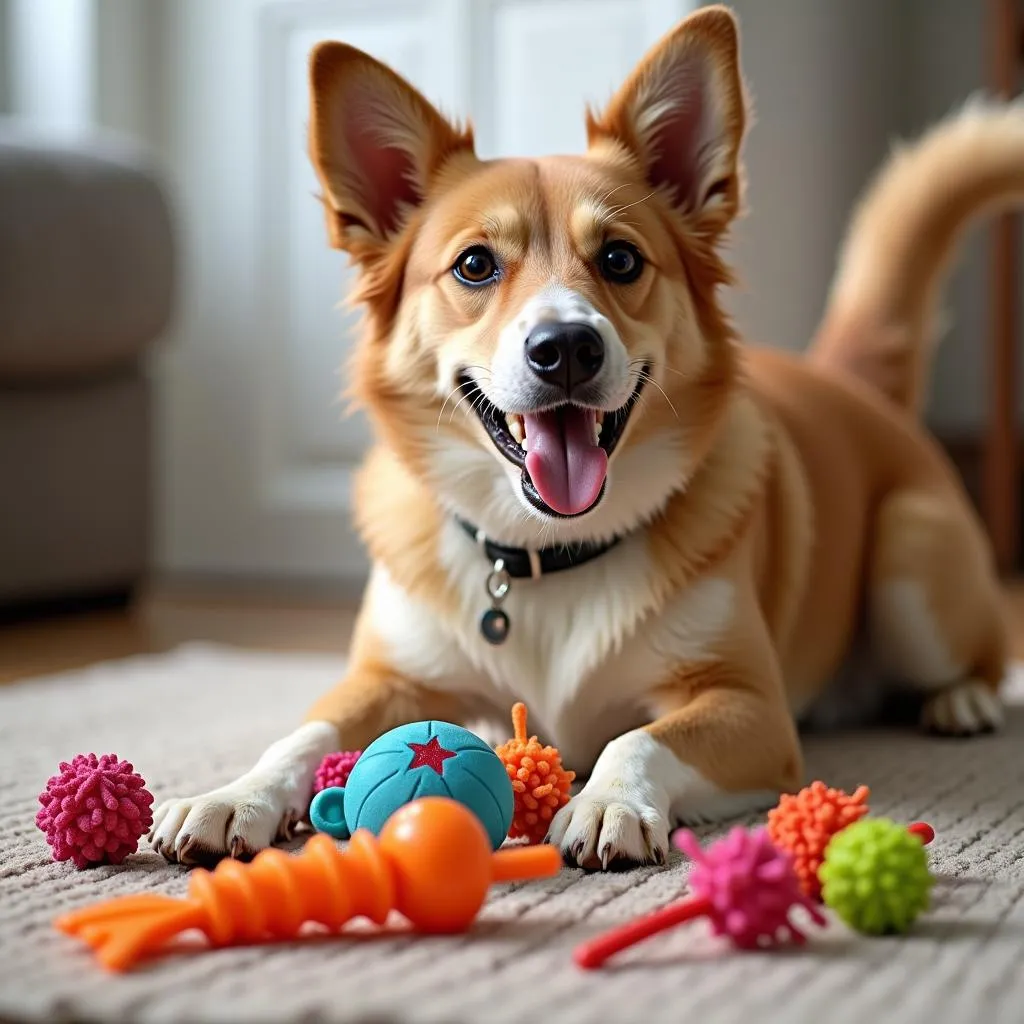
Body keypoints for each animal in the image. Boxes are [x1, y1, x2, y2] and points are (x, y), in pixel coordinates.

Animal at [149, 8, 1015, 872]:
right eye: (474, 265)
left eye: (621, 257)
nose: (566, 347)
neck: (543, 555)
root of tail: (849, 383)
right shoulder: (386, 677)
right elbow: (302, 733)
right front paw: (234, 794)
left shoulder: (750, 705)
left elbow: (638, 738)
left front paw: (608, 801)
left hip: (910, 561)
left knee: (984, 655)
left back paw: (964, 699)